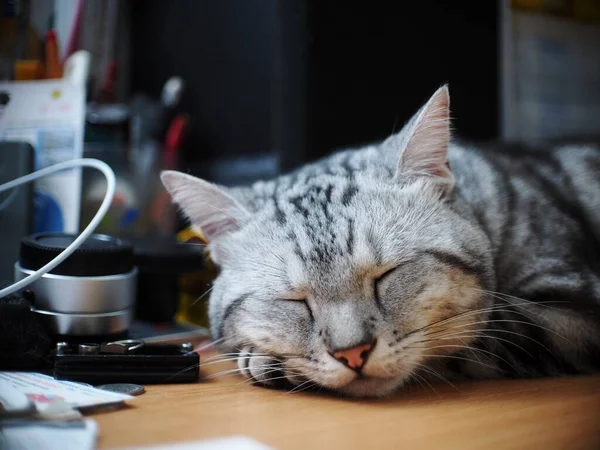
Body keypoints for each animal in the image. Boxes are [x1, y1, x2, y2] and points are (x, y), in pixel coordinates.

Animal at [159, 87, 600, 398]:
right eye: (294, 301)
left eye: (387, 275)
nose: (352, 353)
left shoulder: (570, 312)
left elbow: (470, 341)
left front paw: (266, 362)